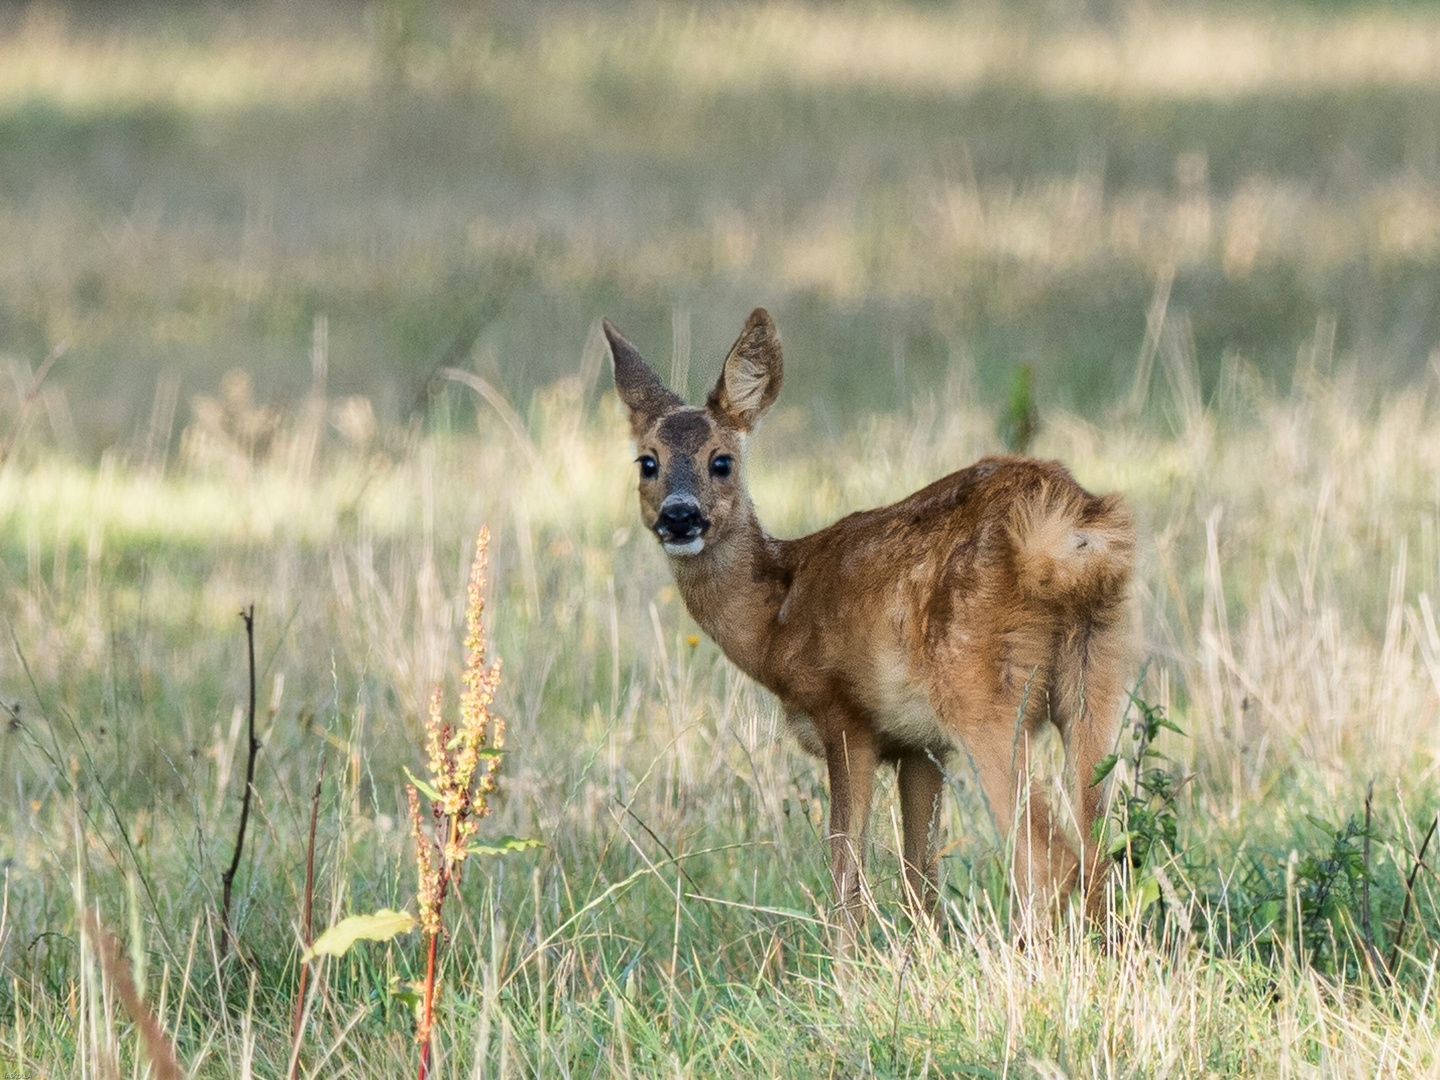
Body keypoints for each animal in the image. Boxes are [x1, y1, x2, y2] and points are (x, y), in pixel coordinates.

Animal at [604, 306, 1134, 933]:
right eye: (648, 462)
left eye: (722, 462)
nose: (679, 516)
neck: (777, 617)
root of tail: (1070, 531)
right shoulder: (920, 746)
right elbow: (920, 877)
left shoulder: (843, 714)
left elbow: (846, 872)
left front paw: (844, 959)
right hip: (1097, 672)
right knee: (1101, 851)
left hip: (982, 690)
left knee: (1052, 860)